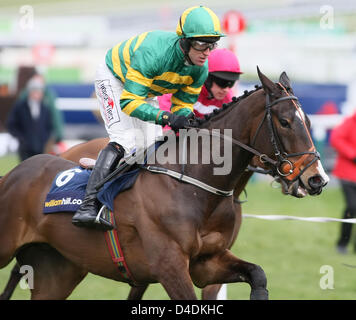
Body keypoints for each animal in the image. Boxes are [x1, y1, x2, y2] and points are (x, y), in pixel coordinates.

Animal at [0, 68, 328, 300]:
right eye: (285, 122)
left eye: (308, 121)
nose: (317, 179)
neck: (195, 186)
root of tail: (15, 173)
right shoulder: (169, 267)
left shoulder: (207, 263)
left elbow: (258, 274)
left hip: (57, 268)